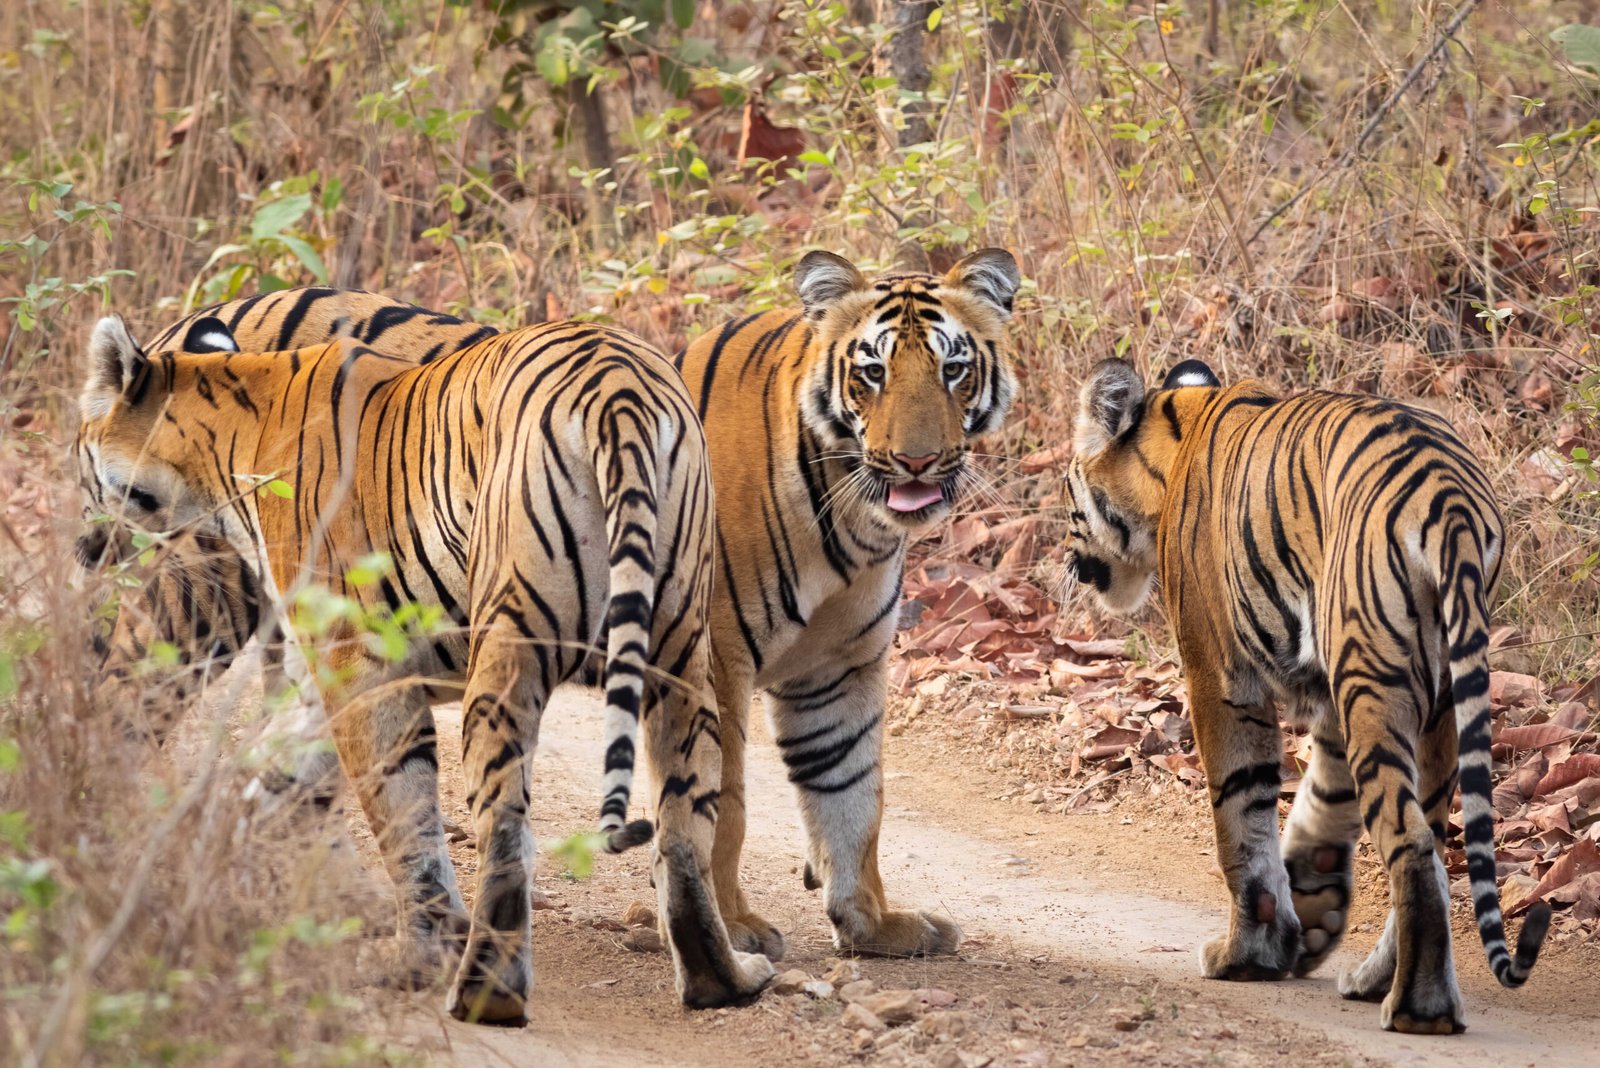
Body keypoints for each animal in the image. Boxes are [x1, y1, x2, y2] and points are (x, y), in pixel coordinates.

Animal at [672, 248, 1021, 961]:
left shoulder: (835, 666)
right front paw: (731, 925)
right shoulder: (714, 658)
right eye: (873, 372)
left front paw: (872, 924)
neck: (852, 521)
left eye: (953, 369)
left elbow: (851, 791)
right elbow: (725, 801)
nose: (916, 461)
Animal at [1060, 356, 1551, 1033]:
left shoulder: (1219, 675)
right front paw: (1310, 916)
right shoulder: (1328, 694)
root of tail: (1447, 496)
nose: (1066, 557)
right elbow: (1320, 800)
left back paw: (1416, 1007)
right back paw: (1375, 980)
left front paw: (1246, 954)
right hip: (1432, 696)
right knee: (1432, 842)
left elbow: (1241, 816)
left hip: (1373, 677)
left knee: (1413, 845)